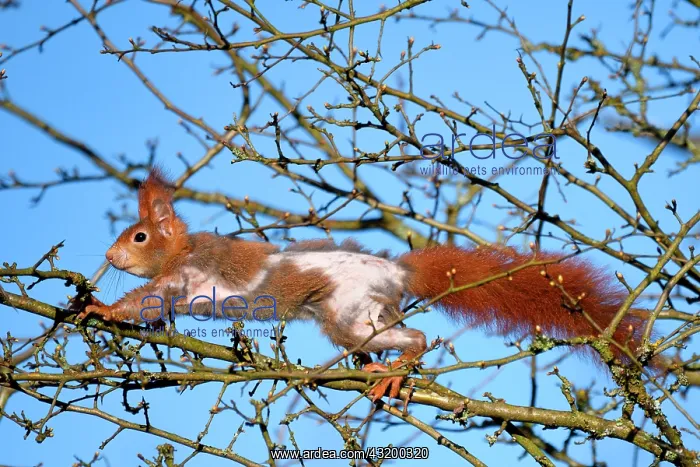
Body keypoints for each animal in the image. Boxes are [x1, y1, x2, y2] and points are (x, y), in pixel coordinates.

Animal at [76, 169, 649, 401]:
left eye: (140, 235)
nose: (108, 256)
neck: (183, 248)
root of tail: (395, 271)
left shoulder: (182, 275)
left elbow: (144, 302)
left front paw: (99, 309)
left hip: (348, 315)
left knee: (413, 337)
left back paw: (397, 367)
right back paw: (375, 366)